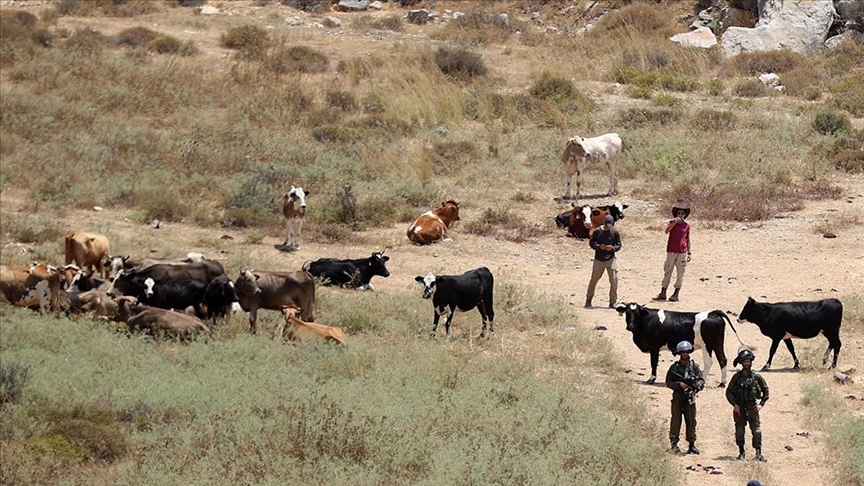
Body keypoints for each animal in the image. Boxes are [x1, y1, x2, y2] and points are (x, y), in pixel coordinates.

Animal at [616, 304, 744, 388]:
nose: (630, 326)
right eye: (627, 313)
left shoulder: (654, 347)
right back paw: (722, 383)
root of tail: (713, 312)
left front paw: (651, 379)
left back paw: (703, 381)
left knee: (709, 362)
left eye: (637, 314)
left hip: (707, 346)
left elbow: (653, 362)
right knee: (722, 360)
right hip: (717, 344)